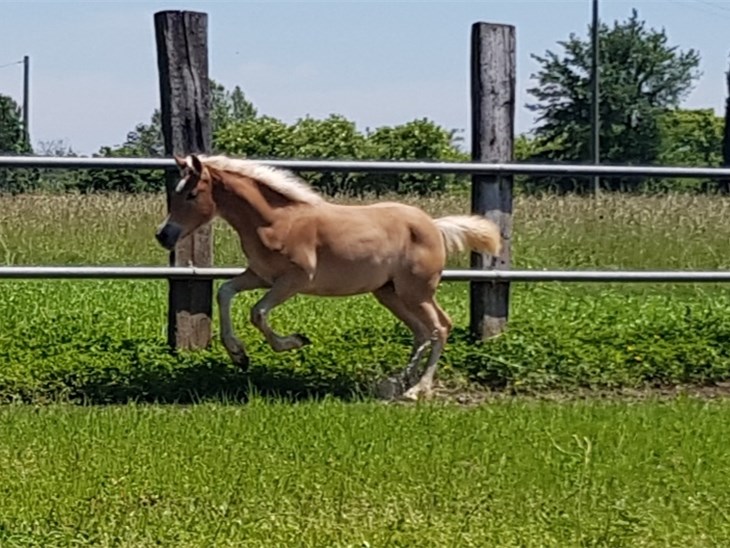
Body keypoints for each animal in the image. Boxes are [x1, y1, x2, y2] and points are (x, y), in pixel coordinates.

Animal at [155, 154, 501, 401]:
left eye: (191, 194)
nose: (163, 235)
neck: (275, 221)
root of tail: (435, 226)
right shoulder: (260, 275)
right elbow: (225, 291)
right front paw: (239, 355)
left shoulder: (294, 280)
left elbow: (258, 312)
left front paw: (295, 342)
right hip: (389, 292)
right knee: (421, 331)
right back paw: (395, 382)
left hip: (416, 291)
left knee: (440, 327)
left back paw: (416, 390)